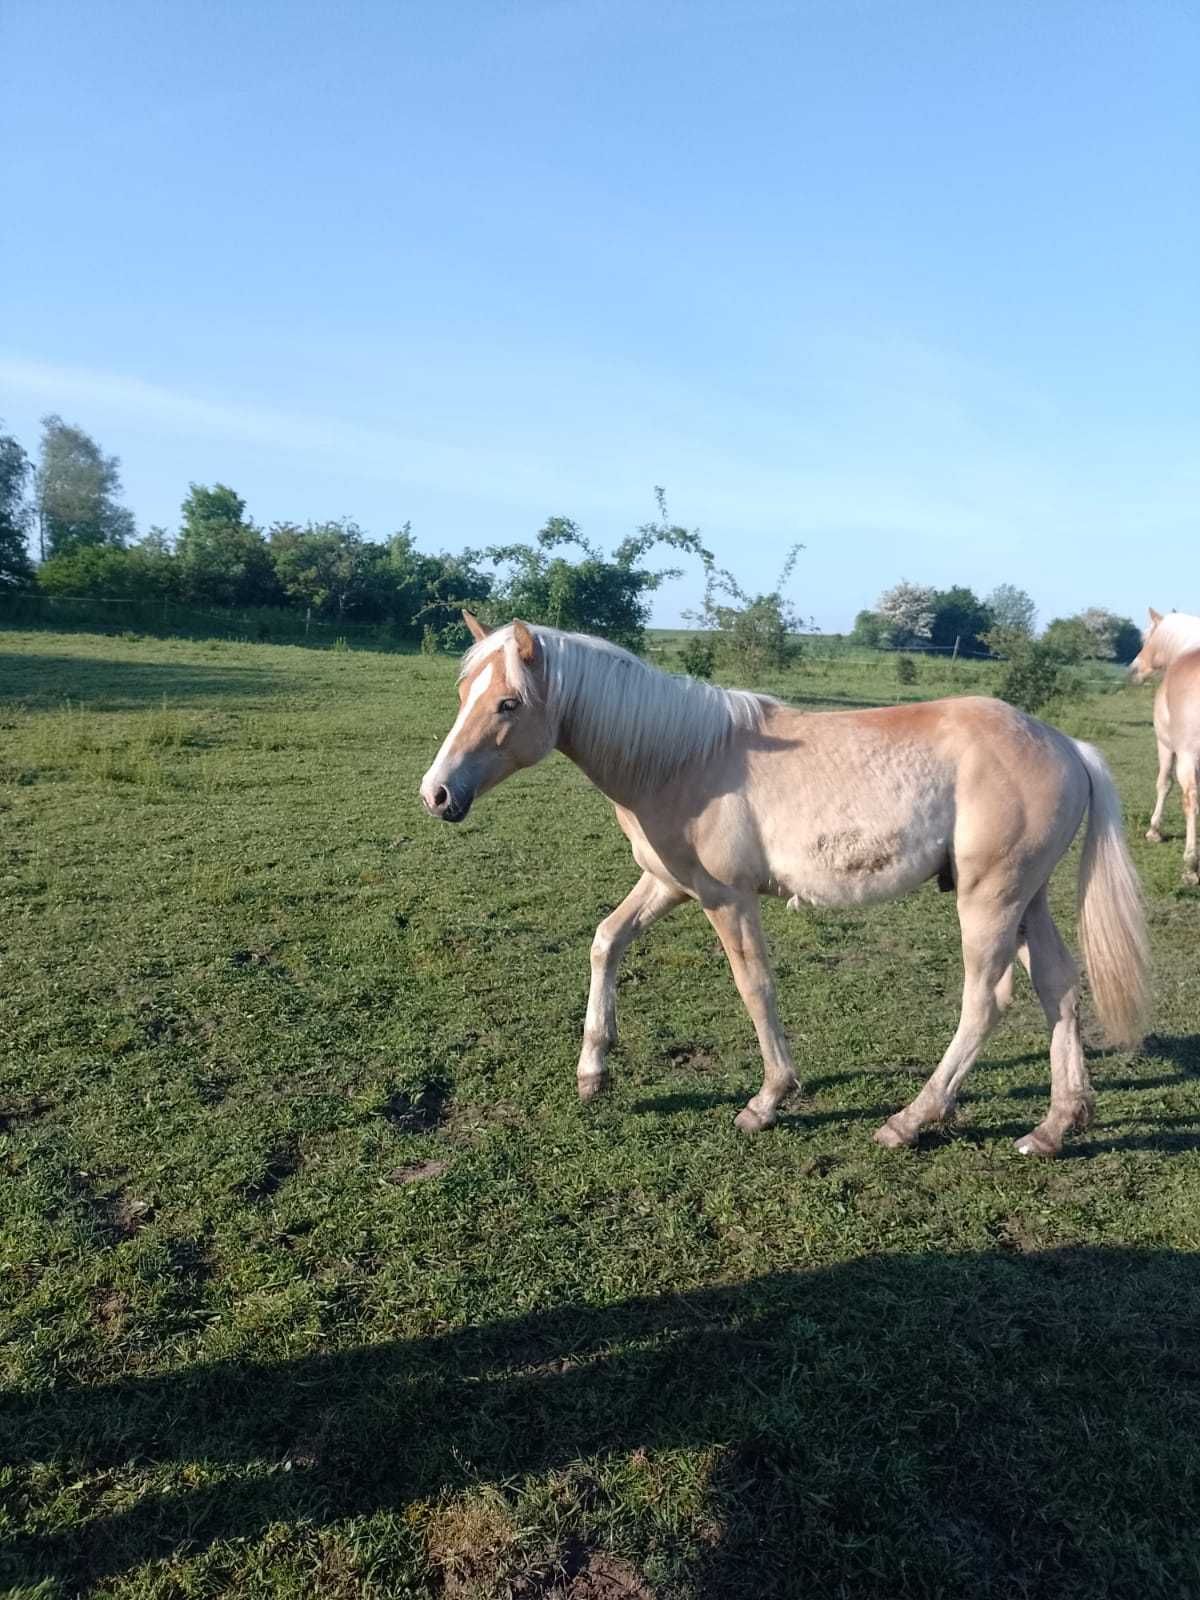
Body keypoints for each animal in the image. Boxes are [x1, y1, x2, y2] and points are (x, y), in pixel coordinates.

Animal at [422, 617, 1145, 1158]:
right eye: (462, 696)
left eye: (509, 703)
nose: (437, 794)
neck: (679, 757)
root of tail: (1068, 746)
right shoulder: (665, 883)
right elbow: (606, 942)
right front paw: (592, 1070)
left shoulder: (725, 898)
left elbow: (755, 987)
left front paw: (768, 1100)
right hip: (1026, 901)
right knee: (1059, 987)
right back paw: (1055, 1127)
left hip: (990, 902)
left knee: (986, 1002)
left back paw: (909, 1121)